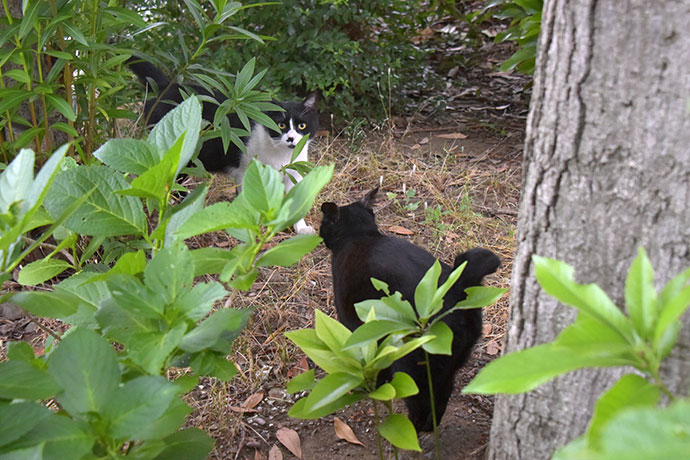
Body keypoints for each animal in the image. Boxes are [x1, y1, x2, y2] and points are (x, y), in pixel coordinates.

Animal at [128, 58, 320, 235]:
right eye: (281, 125)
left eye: (302, 126)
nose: (291, 139)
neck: (281, 155)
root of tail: (166, 86)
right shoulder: (246, 171)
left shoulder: (294, 173)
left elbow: (296, 199)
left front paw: (301, 228)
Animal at [318, 187, 500, 432]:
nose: (319, 232)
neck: (360, 236)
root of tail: (457, 287)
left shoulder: (351, 320)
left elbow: (366, 358)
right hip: (448, 364)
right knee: (442, 396)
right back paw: (430, 428)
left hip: (412, 363)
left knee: (420, 402)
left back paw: (412, 428)